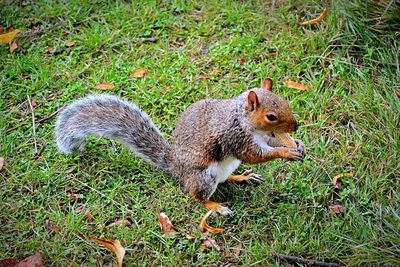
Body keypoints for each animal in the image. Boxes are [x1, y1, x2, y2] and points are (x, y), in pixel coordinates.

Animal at [55, 78, 306, 217]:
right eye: (271, 116)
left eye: (285, 101)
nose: (295, 126)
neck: (243, 118)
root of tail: (174, 166)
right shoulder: (235, 137)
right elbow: (255, 155)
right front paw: (286, 151)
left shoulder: (263, 137)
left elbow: (271, 144)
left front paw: (298, 145)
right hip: (204, 176)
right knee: (197, 197)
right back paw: (216, 207)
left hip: (225, 168)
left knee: (225, 179)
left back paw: (242, 177)